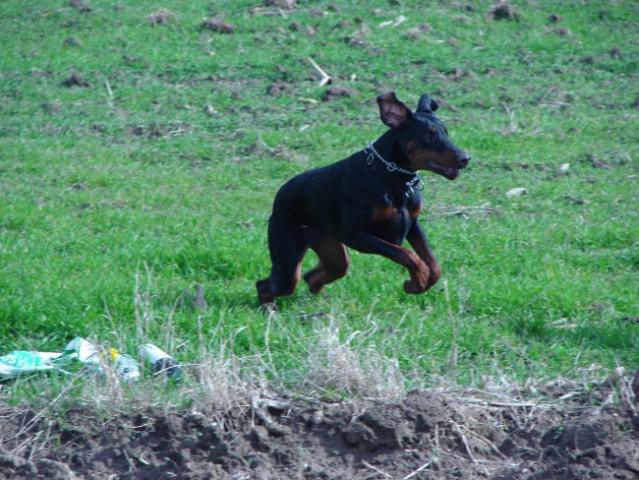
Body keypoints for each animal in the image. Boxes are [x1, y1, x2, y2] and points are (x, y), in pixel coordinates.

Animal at [255, 92, 470, 310]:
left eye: (446, 131)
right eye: (429, 135)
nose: (465, 158)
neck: (391, 178)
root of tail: (278, 199)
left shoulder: (413, 224)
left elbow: (434, 266)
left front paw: (419, 283)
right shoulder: (356, 234)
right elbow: (406, 255)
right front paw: (416, 282)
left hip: (334, 253)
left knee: (313, 275)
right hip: (288, 260)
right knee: (266, 284)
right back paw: (269, 309)